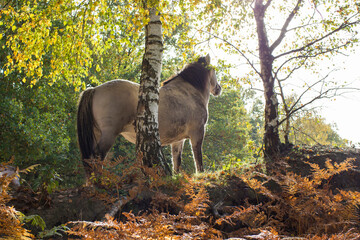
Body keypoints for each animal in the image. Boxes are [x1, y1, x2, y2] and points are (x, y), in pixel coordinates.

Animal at [77, 54, 221, 174]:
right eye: (214, 71)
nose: (218, 88)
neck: (189, 92)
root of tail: (94, 89)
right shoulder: (197, 132)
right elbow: (198, 157)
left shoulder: (178, 140)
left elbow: (176, 162)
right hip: (109, 134)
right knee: (98, 155)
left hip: (96, 134)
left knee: (91, 158)